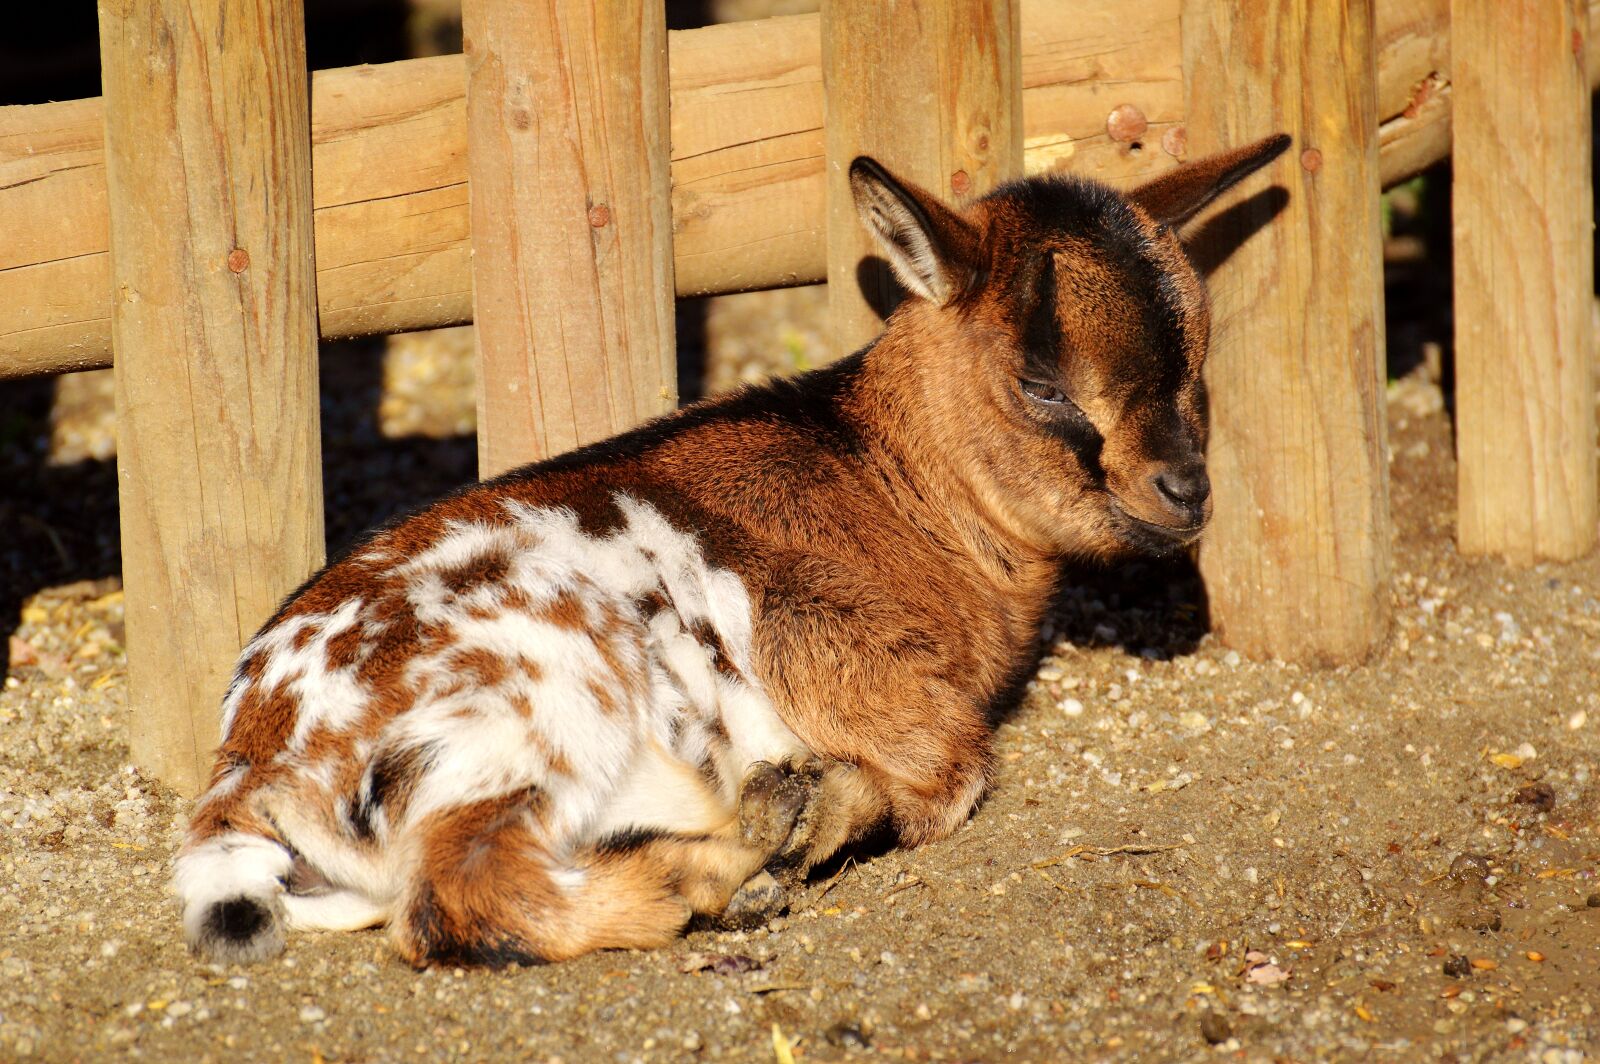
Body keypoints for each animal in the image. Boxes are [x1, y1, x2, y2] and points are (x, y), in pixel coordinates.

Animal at [175, 133, 1290, 967]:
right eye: (1044, 384)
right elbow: (954, 763)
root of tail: (254, 757)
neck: (886, 475)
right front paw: (830, 807)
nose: (1186, 490)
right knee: (459, 897)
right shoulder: (834, 651)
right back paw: (738, 860)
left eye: (1199, 357)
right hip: (535, 709)